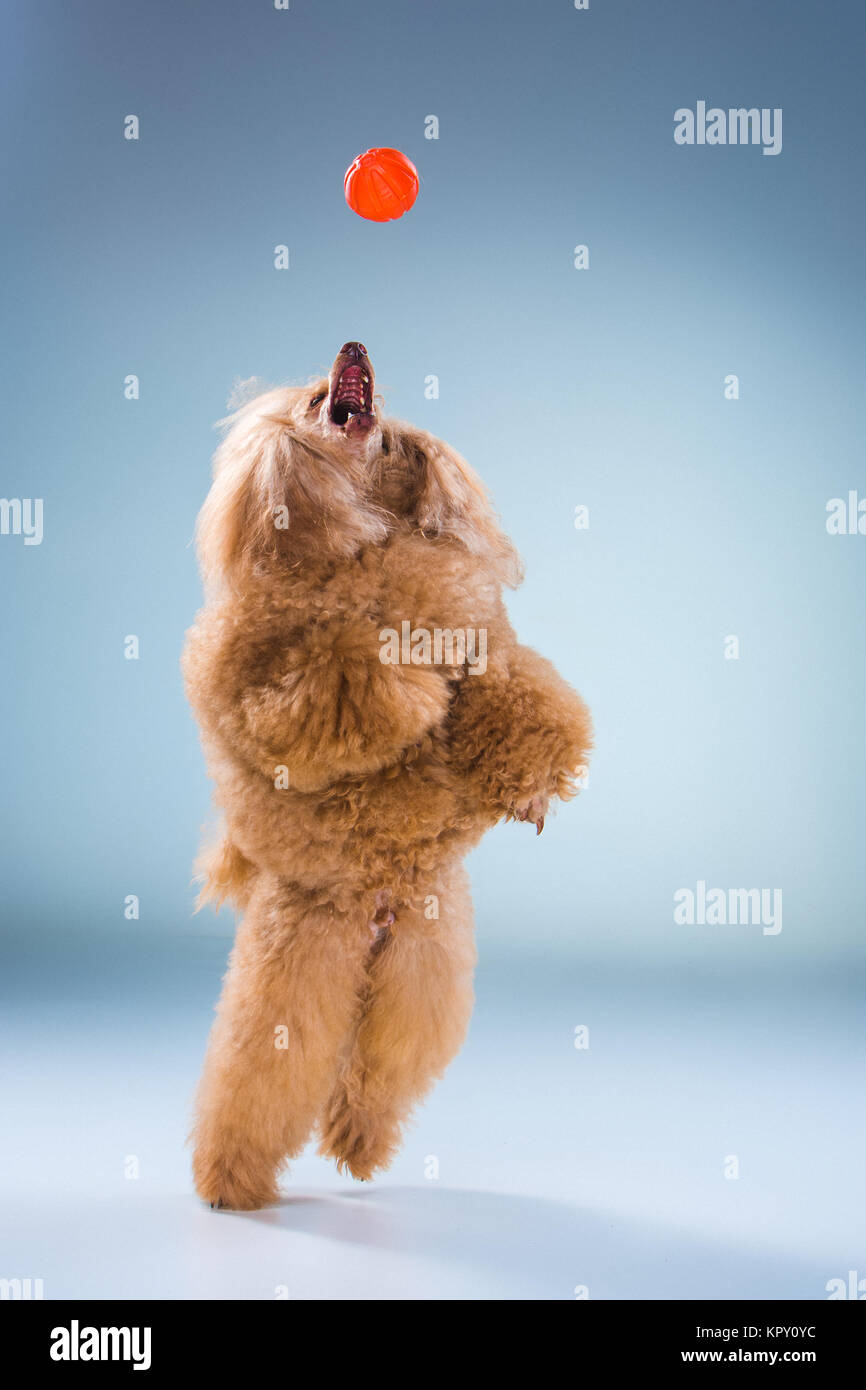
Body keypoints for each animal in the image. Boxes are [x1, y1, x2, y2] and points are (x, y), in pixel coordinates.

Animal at [180, 341, 589, 1212]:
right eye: (316, 400)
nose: (353, 348)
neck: (359, 525)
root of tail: (371, 920)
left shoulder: (487, 646)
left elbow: (511, 693)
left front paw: (528, 789)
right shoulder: (268, 682)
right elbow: (347, 670)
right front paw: (405, 684)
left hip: (423, 969)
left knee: (378, 1070)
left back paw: (359, 1144)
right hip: (295, 966)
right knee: (261, 1076)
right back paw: (230, 1182)